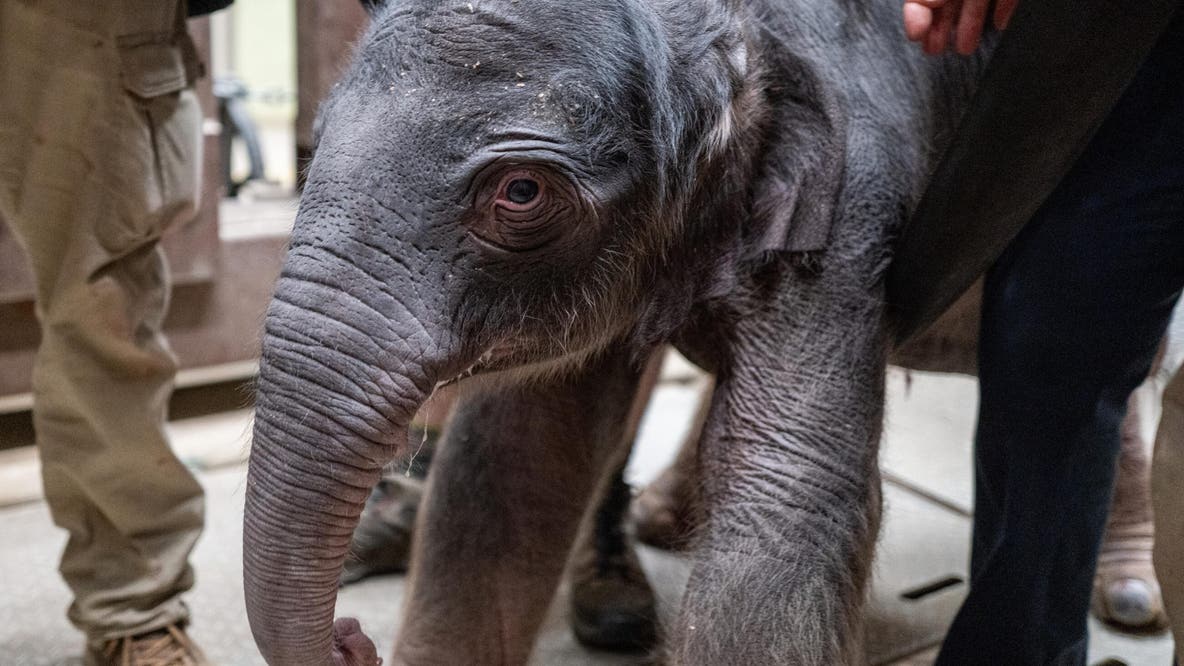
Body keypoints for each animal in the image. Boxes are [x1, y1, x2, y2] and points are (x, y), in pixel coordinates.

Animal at [242, 0, 993, 663]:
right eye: (316, 141)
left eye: (521, 192)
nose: (350, 637)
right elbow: (512, 462)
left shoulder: (846, 214)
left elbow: (784, 499)